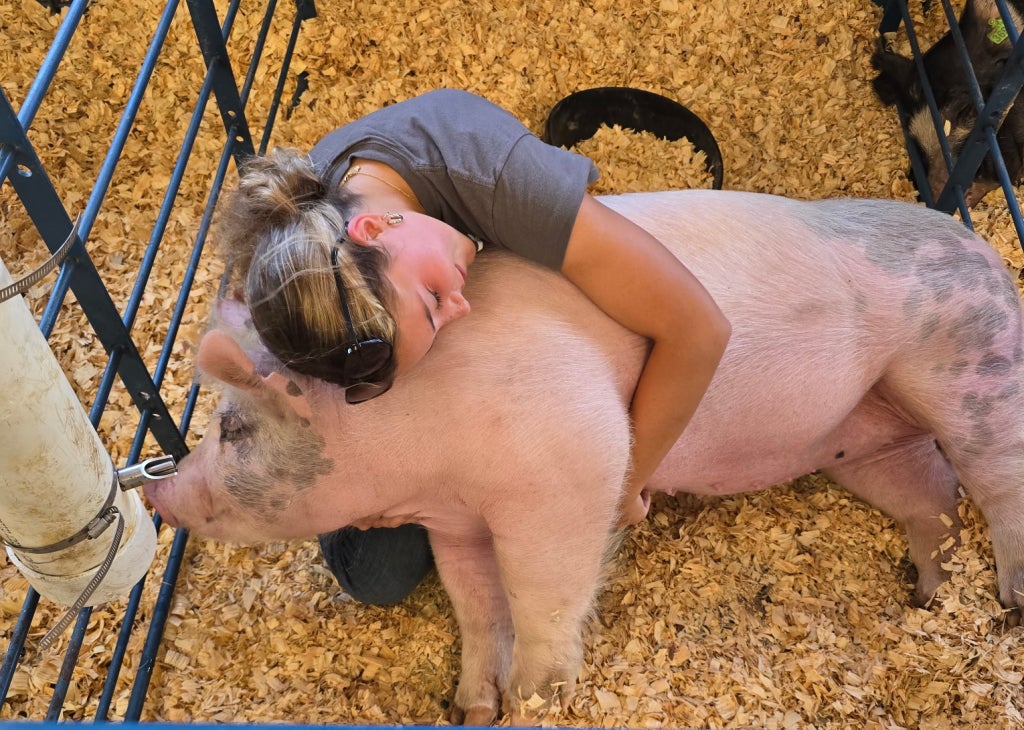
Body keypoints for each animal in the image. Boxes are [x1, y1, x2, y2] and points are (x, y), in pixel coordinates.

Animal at [146, 190, 1024, 725]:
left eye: (233, 431)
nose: (160, 492)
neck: (425, 455)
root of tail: (984, 248)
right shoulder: (456, 522)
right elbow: (475, 605)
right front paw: (470, 705)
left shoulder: (569, 464)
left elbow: (541, 594)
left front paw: (538, 700)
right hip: (862, 439)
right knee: (934, 497)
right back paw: (928, 598)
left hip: (974, 363)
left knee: (999, 482)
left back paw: (1009, 599)